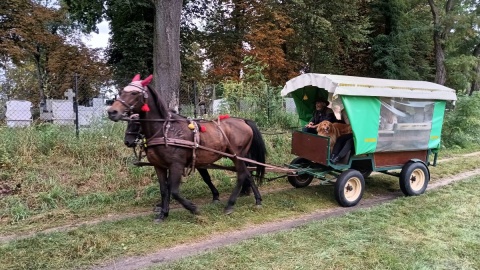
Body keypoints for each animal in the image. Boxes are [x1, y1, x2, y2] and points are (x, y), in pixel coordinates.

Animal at [109, 74, 266, 221]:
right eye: (121, 91)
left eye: (134, 93)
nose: (112, 112)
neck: (165, 131)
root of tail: (243, 121)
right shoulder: (159, 166)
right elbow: (164, 189)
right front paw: (163, 214)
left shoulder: (177, 164)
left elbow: (174, 190)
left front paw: (193, 208)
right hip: (239, 156)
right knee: (248, 173)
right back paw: (257, 199)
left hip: (237, 155)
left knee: (242, 175)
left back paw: (230, 205)